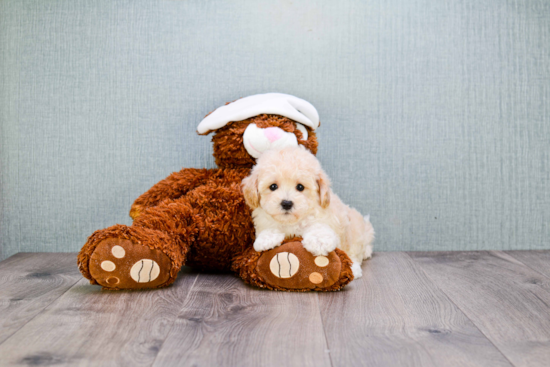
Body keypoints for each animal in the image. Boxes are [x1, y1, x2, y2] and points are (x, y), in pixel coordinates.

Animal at [244, 145, 378, 278]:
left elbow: (318, 227)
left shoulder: (326, 219)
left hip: (358, 232)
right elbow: (269, 227)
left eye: (300, 187)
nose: (286, 203)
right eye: (273, 186)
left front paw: (318, 241)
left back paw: (355, 266)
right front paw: (266, 239)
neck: (291, 222)